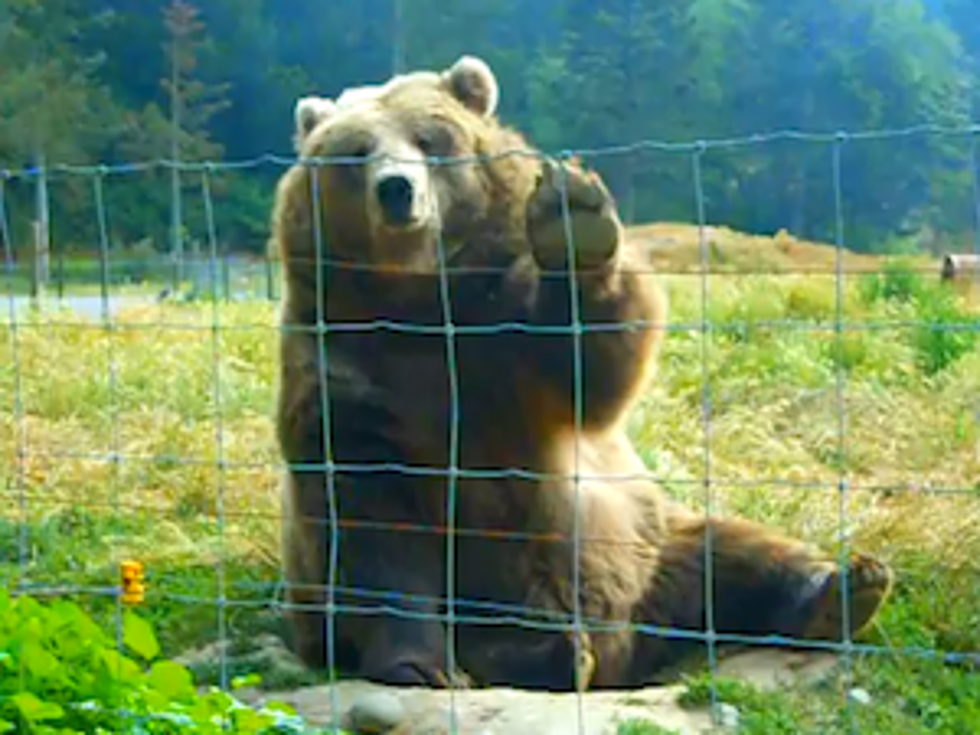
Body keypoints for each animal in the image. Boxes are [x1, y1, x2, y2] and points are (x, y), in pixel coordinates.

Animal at [270, 54, 896, 692]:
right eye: (355, 152)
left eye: (429, 139)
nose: (398, 189)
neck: (422, 304)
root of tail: (631, 641)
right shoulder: (352, 374)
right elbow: (374, 527)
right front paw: (418, 666)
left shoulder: (504, 336)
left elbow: (590, 371)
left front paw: (573, 221)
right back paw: (545, 652)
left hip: (650, 539)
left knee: (730, 554)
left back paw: (842, 588)